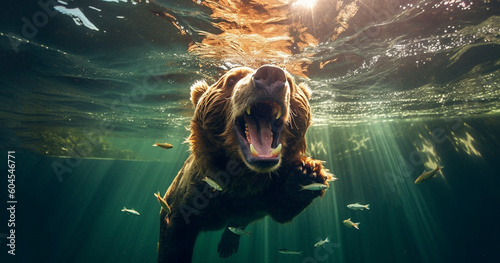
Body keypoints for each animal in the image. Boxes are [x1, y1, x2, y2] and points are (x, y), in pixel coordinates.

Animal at [156, 65, 332, 262]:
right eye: (232, 79)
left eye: (289, 80)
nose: (271, 74)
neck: (244, 179)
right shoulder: (194, 191)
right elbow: (176, 234)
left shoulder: (263, 194)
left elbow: (283, 208)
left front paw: (308, 172)